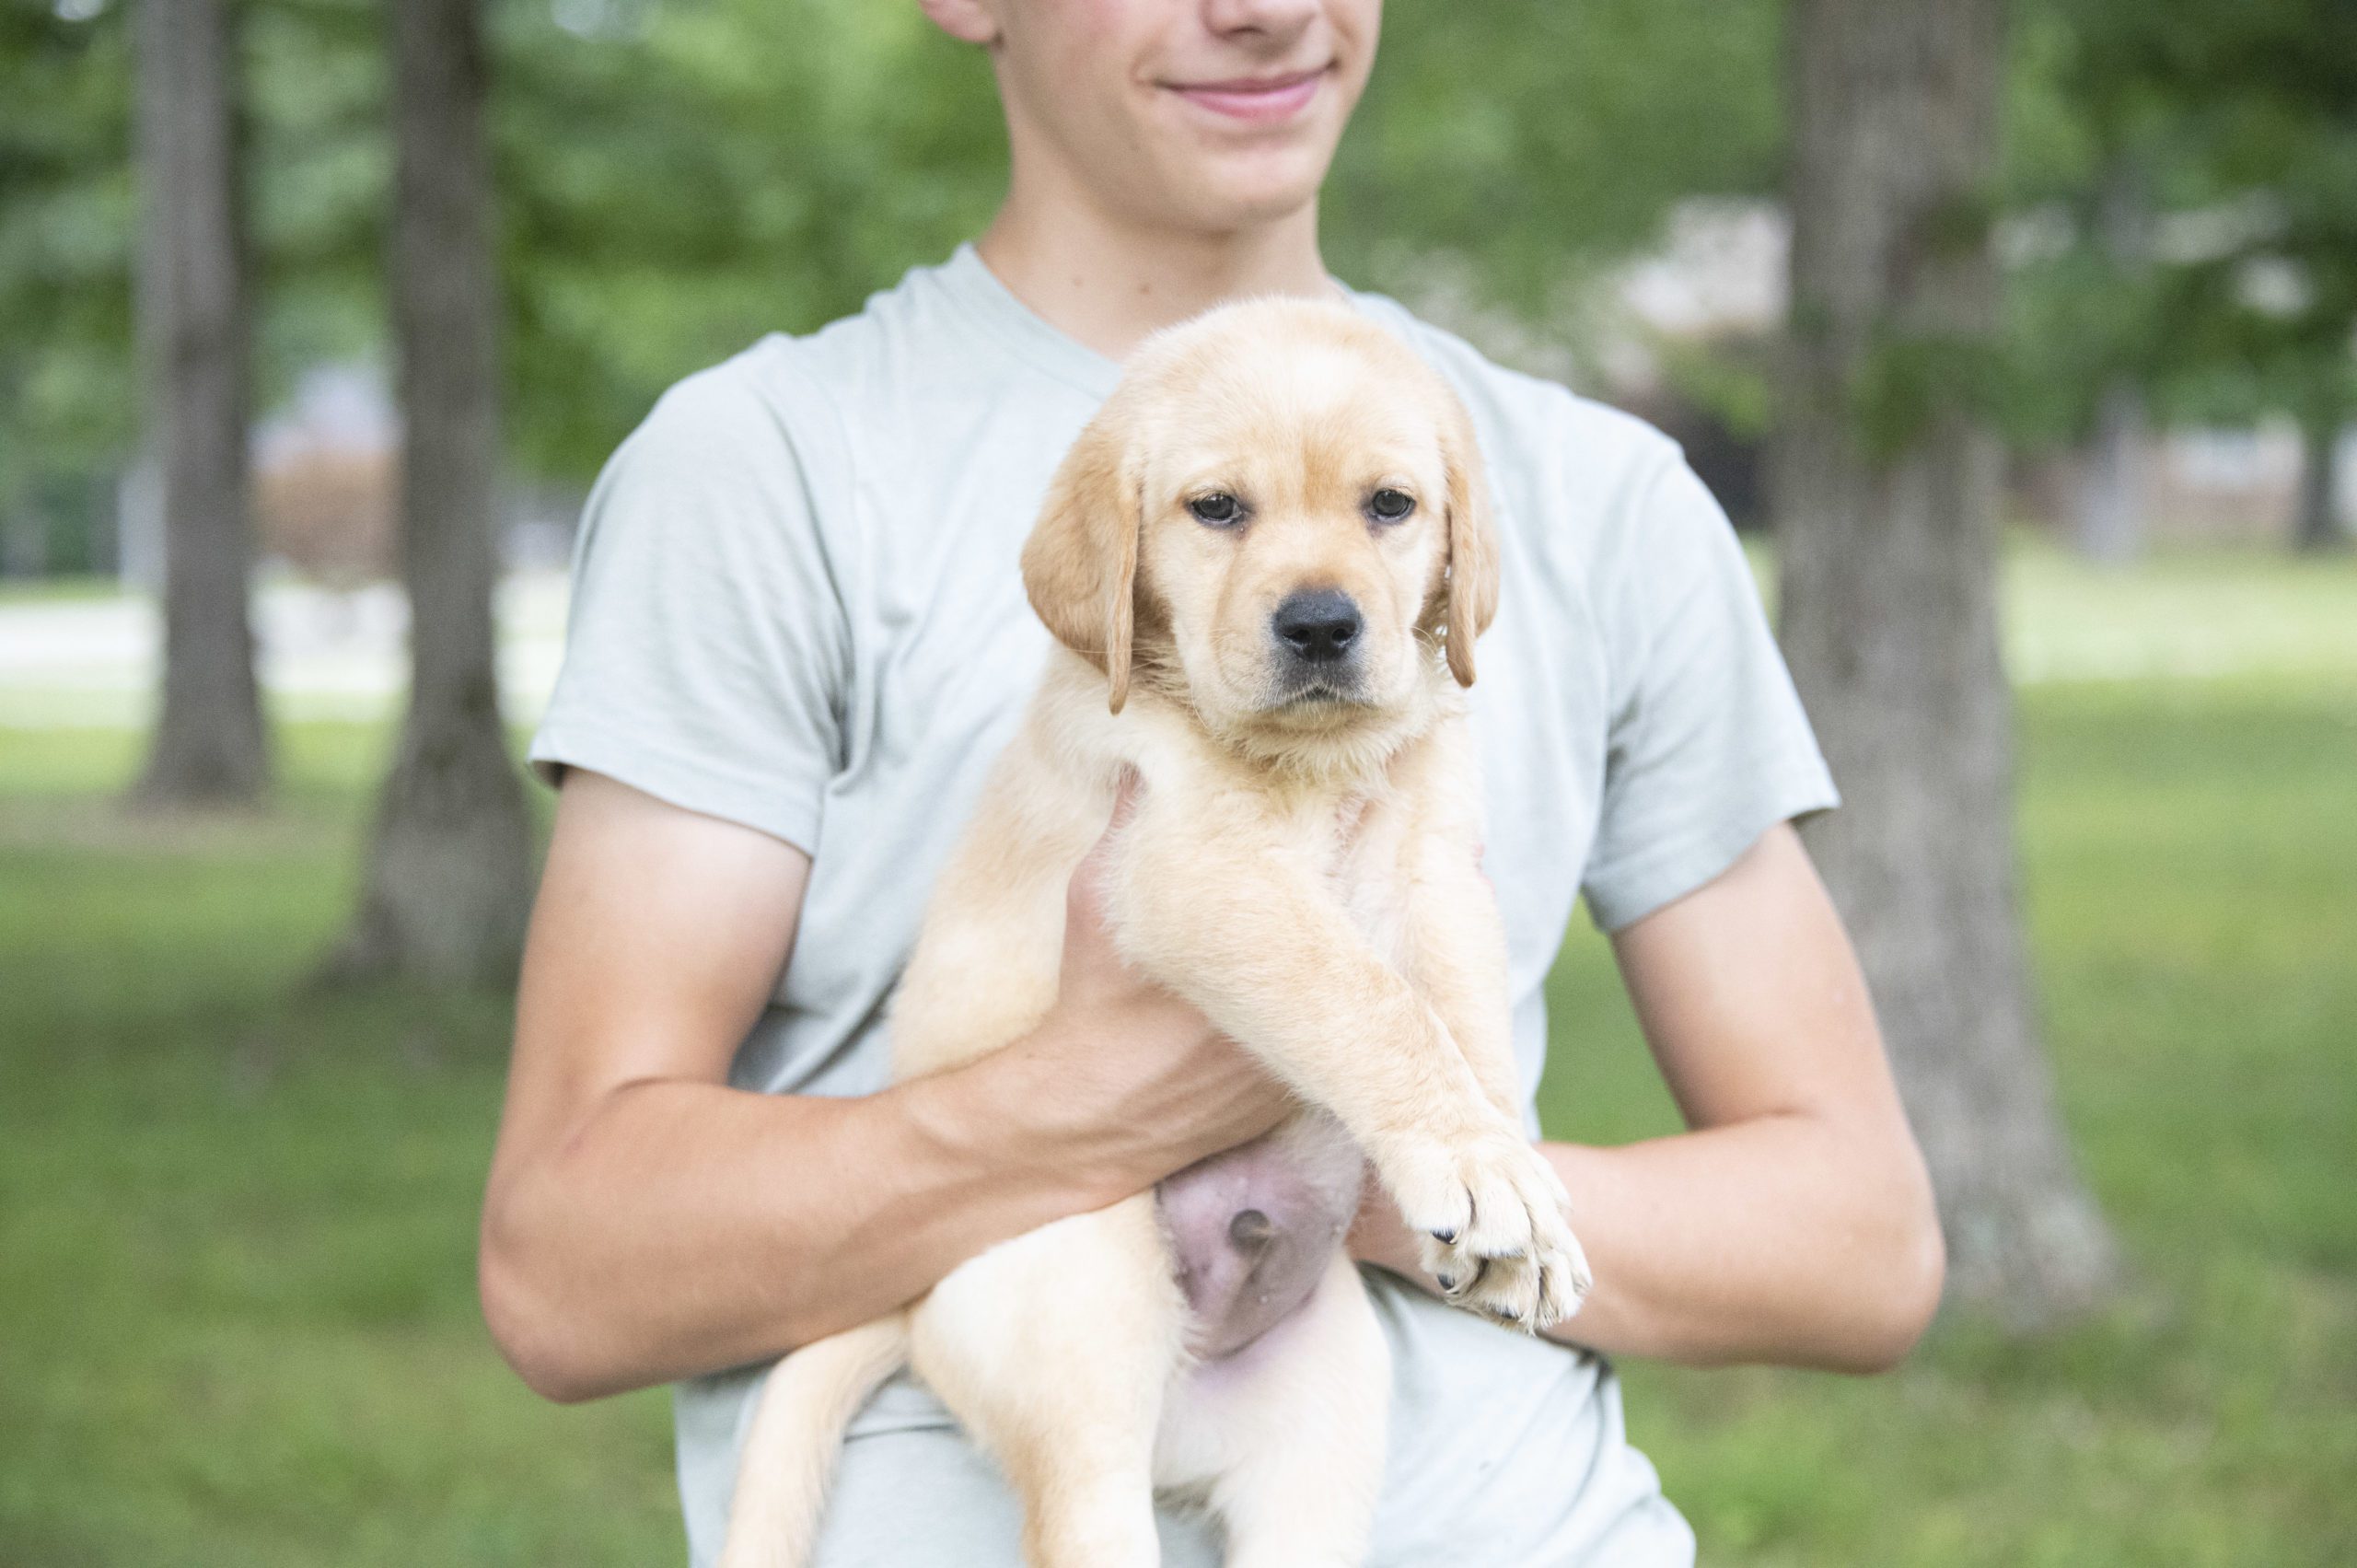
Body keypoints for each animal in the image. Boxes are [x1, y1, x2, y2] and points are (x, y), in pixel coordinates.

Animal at [726, 296, 1593, 1565]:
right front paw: (1481, 1165)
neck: (1310, 763)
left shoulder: (1435, 868)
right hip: (1082, 1326)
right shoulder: (1191, 867)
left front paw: (1513, 1192)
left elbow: (1461, 1018)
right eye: (1217, 508)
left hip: (1321, 1438)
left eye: (1389, 505)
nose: (1321, 624)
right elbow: (1368, 999)